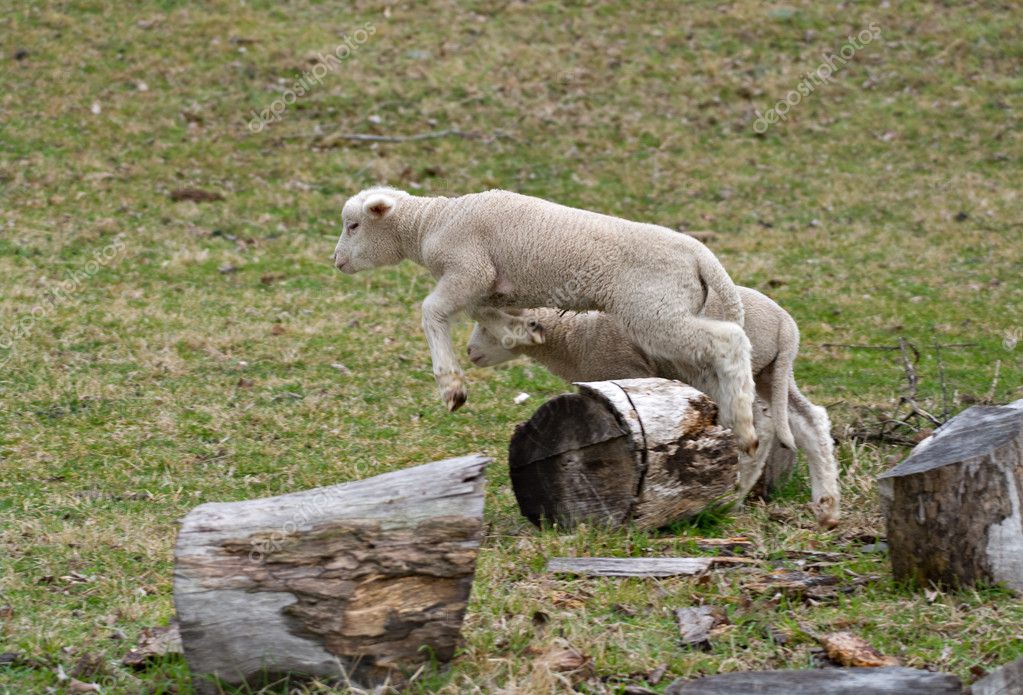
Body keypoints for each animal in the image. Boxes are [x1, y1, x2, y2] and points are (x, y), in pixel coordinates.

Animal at [333, 187, 761, 454]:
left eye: (353, 226)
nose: (335, 262)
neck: (429, 224)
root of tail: (702, 257)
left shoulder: (469, 269)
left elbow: (432, 311)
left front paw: (451, 386)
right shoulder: (492, 284)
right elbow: (481, 311)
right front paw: (522, 331)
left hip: (655, 312)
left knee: (731, 340)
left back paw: (743, 424)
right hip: (673, 312)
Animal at [468, 288, 842, 528]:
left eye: (489, 324)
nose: (471, 352)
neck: (572, 336)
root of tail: (785, 327)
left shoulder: (627, 369)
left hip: (732, 372)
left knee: (758, 428)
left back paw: (733, 498)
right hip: (771, 374)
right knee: (809, 421)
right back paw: (826, 505)